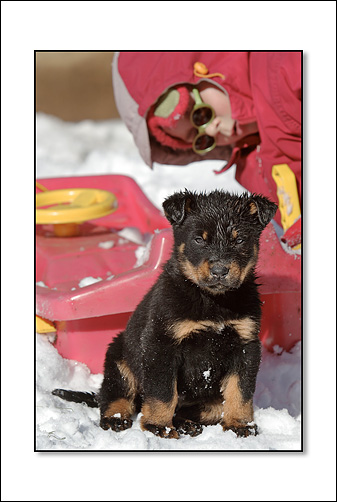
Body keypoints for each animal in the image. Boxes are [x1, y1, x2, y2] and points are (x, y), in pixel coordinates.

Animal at [51, 190, 276, 438]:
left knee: (198, 409)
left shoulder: (246, 344)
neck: (212, 300)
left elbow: (240, 391)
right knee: (115, 395)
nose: (219, 271)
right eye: (199, 239)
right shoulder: (162, 343)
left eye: (239, 240)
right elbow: (163, 392)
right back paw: (116, 419)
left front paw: (240, 424)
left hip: (211, 399)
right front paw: (158, 426)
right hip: (119, 359)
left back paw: (188, 424)